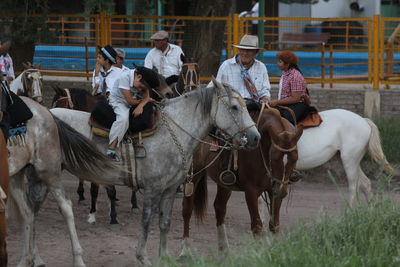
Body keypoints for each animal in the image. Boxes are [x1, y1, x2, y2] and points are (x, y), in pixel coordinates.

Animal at [180, 107, 302, 255]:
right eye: (274, 158)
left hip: (225, 183)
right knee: (187, 209)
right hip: (193, 175)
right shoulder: (251, 191)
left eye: (295, 158)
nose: (282, 191)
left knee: (219, 208)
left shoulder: (274, 190)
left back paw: (224, 249)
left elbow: (274, 224)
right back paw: (185, 249)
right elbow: (256, 225)